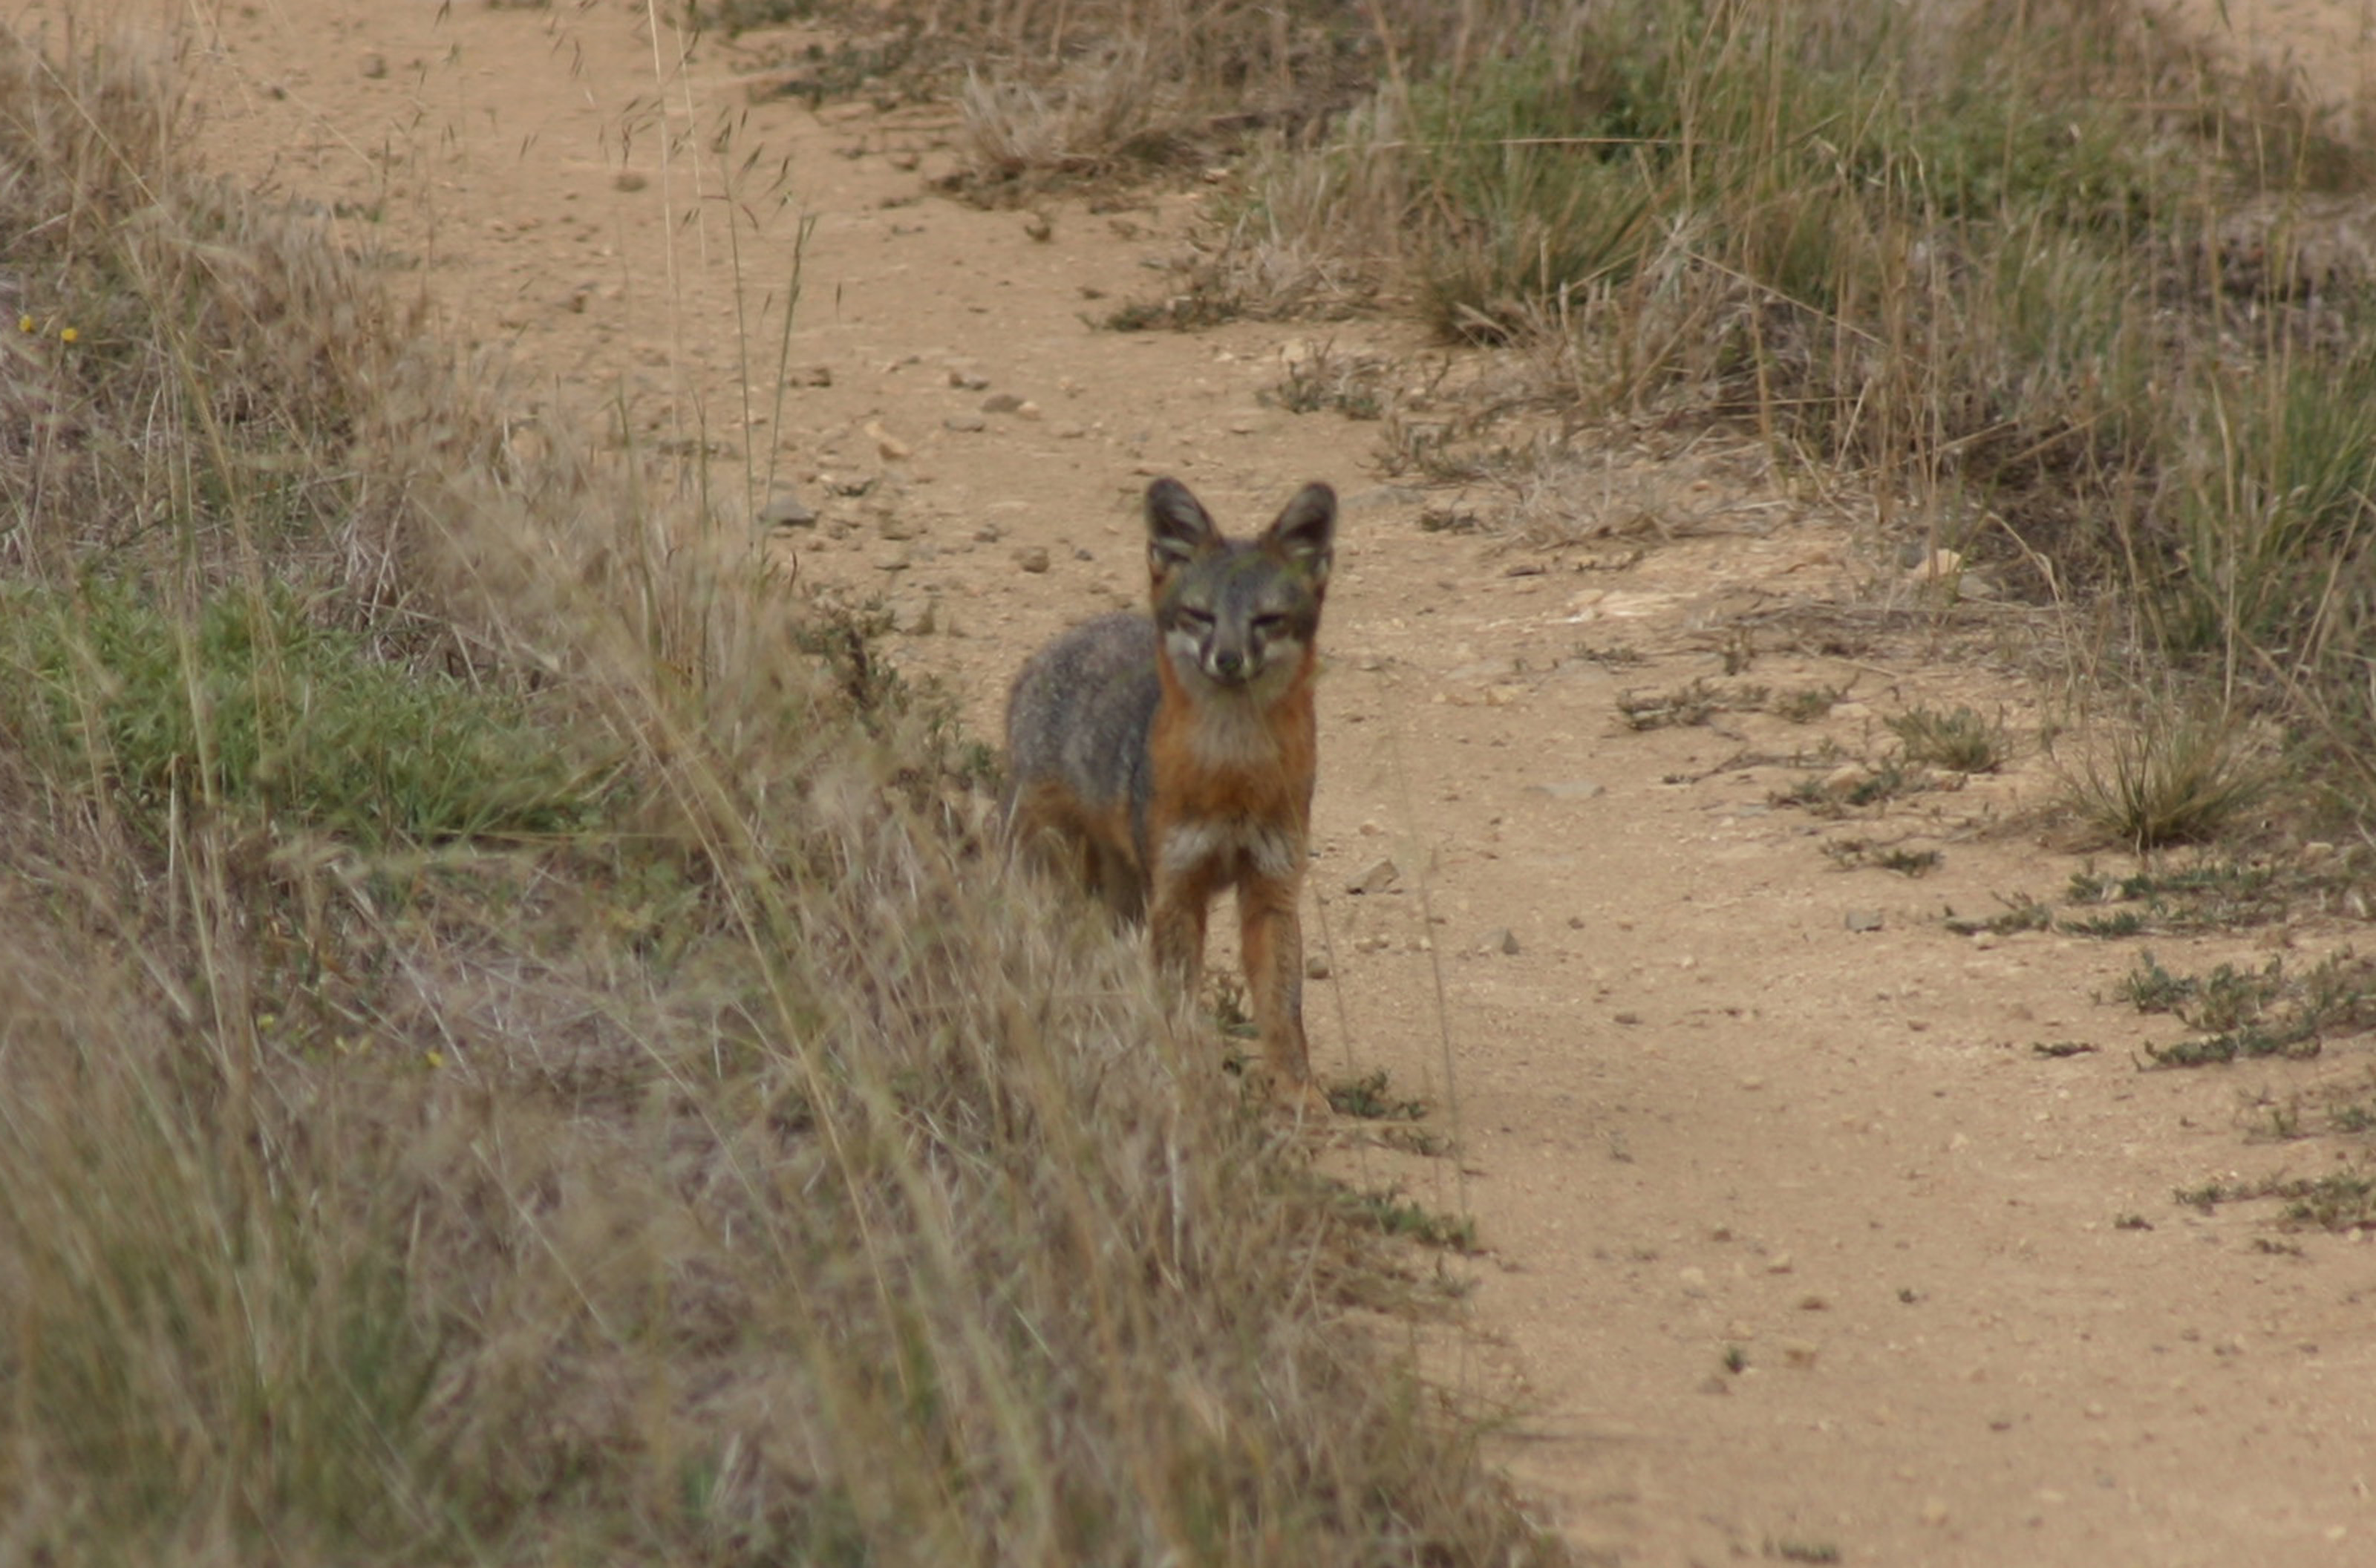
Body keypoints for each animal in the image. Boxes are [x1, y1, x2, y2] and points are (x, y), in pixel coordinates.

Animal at [1004, 476, 1338, 1112]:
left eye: (1267, 620)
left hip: (1126, 890)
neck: (1234, 778)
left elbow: (1284, 1007)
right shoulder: (1179, 889)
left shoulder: (1271, 887)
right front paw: (1186, 1072)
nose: (1228, 659)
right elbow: (1179, 998)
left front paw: (1299, 1091)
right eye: (1200, 616)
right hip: (1067, 872)